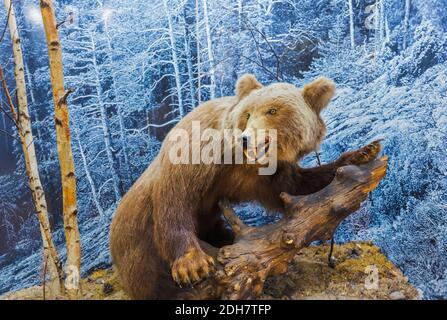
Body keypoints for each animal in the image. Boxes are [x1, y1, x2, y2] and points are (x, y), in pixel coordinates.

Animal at [110, 74, 380, 298]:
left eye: (272, 110)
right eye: (248, 113)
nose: (246, 138)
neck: (240, 162)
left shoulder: (267, 177)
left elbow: (296, 190)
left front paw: (363, 152)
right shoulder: (198, 150)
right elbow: (175, 196)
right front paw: (192, 265)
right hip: (138, 249)